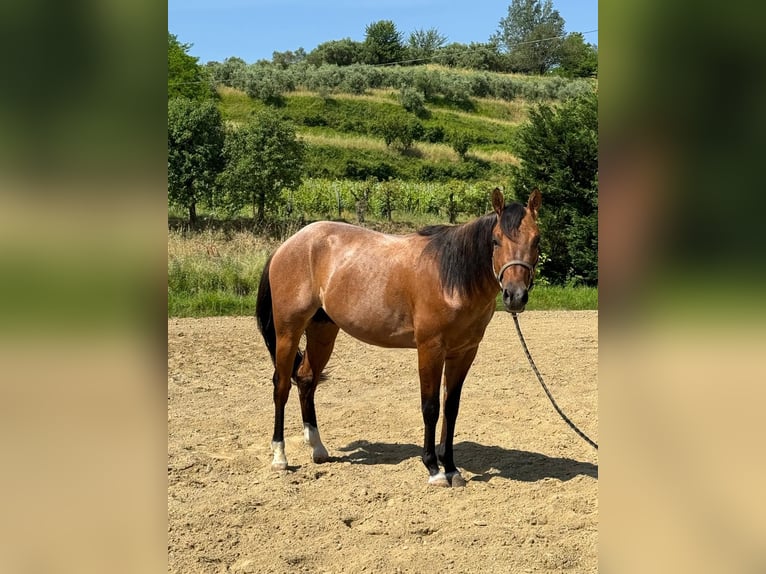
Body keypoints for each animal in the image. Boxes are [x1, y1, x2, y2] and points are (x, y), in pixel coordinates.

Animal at [255, 188, 541, 487]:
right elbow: (431, 407)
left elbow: (451, 408)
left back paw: (318, 449)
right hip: (288, 331)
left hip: (322, 331)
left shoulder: (464, 352)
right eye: (496, 241)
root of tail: (288, 244)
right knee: (281, 386)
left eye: (537, 240)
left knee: (306, 380)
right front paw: (434, 469)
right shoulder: (430, 349)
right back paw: (280, 457)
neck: (451, 278)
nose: (515, 295)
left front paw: (451, 468)